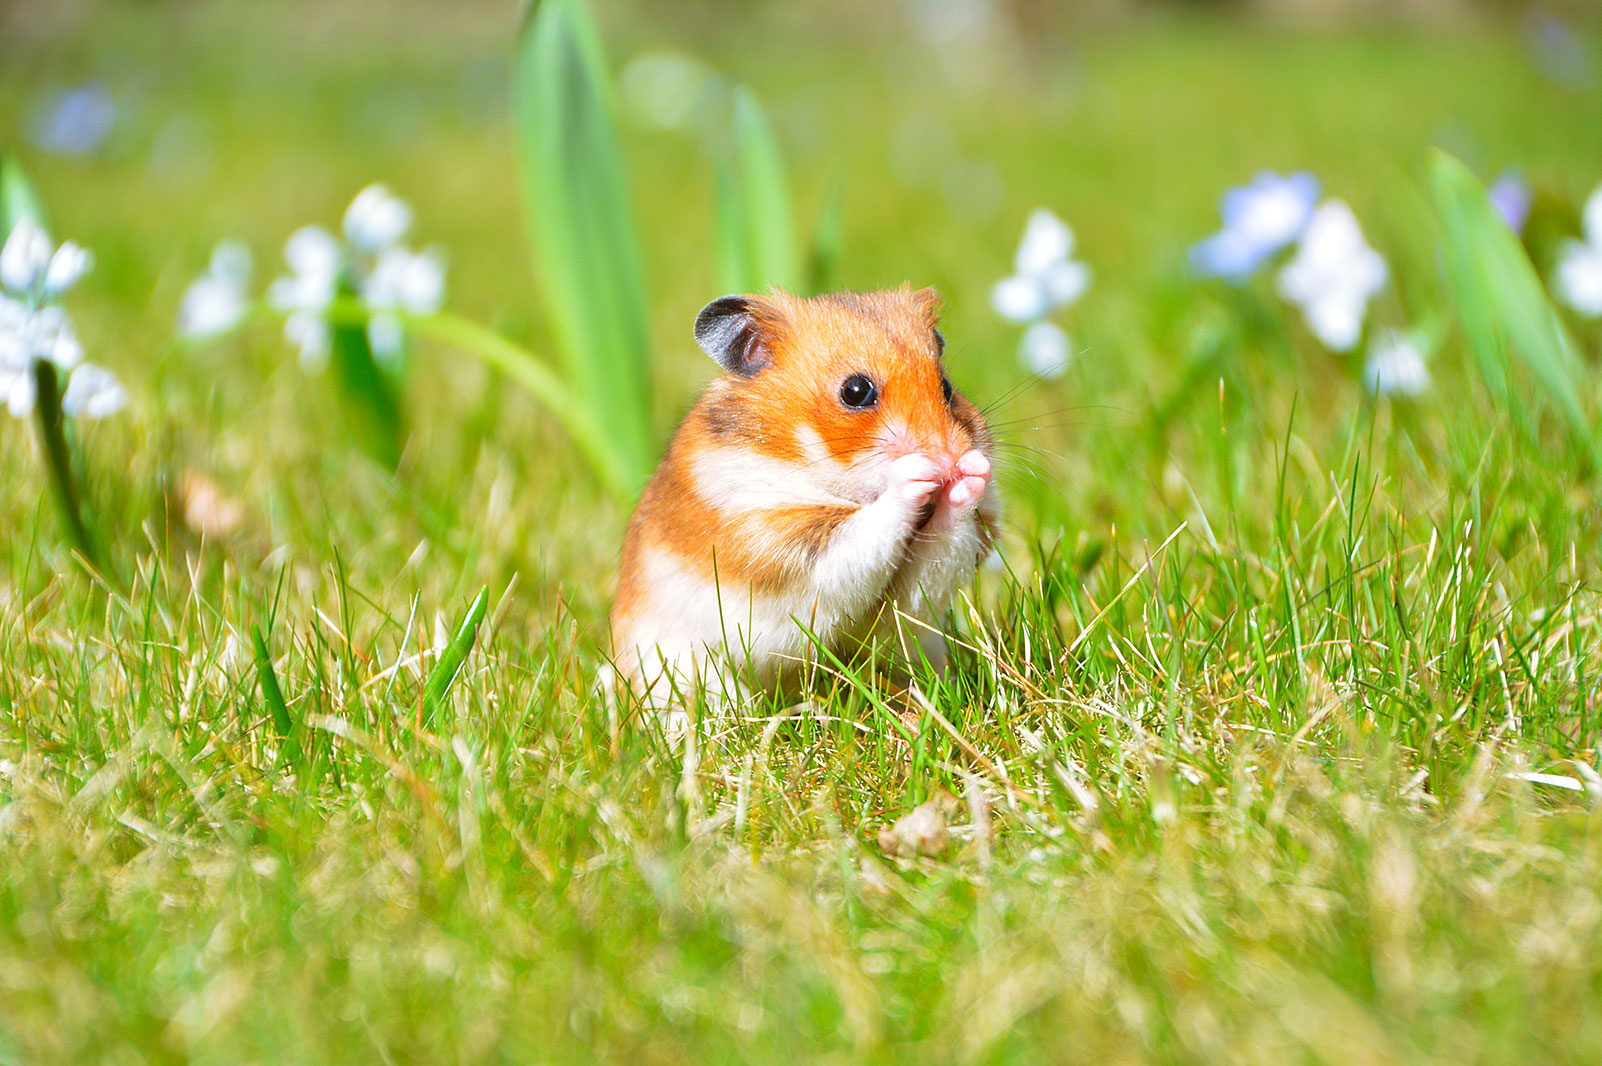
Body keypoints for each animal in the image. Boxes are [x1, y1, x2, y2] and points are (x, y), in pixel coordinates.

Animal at [609, 285, 999, 707]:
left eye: (946, 387)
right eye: (856, 391)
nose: (949, 458)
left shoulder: (912, 592)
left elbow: (939, 546)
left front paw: (972, 471)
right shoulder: (778, 541)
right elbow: (868, 530)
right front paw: (917, 473)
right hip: (680, 666)